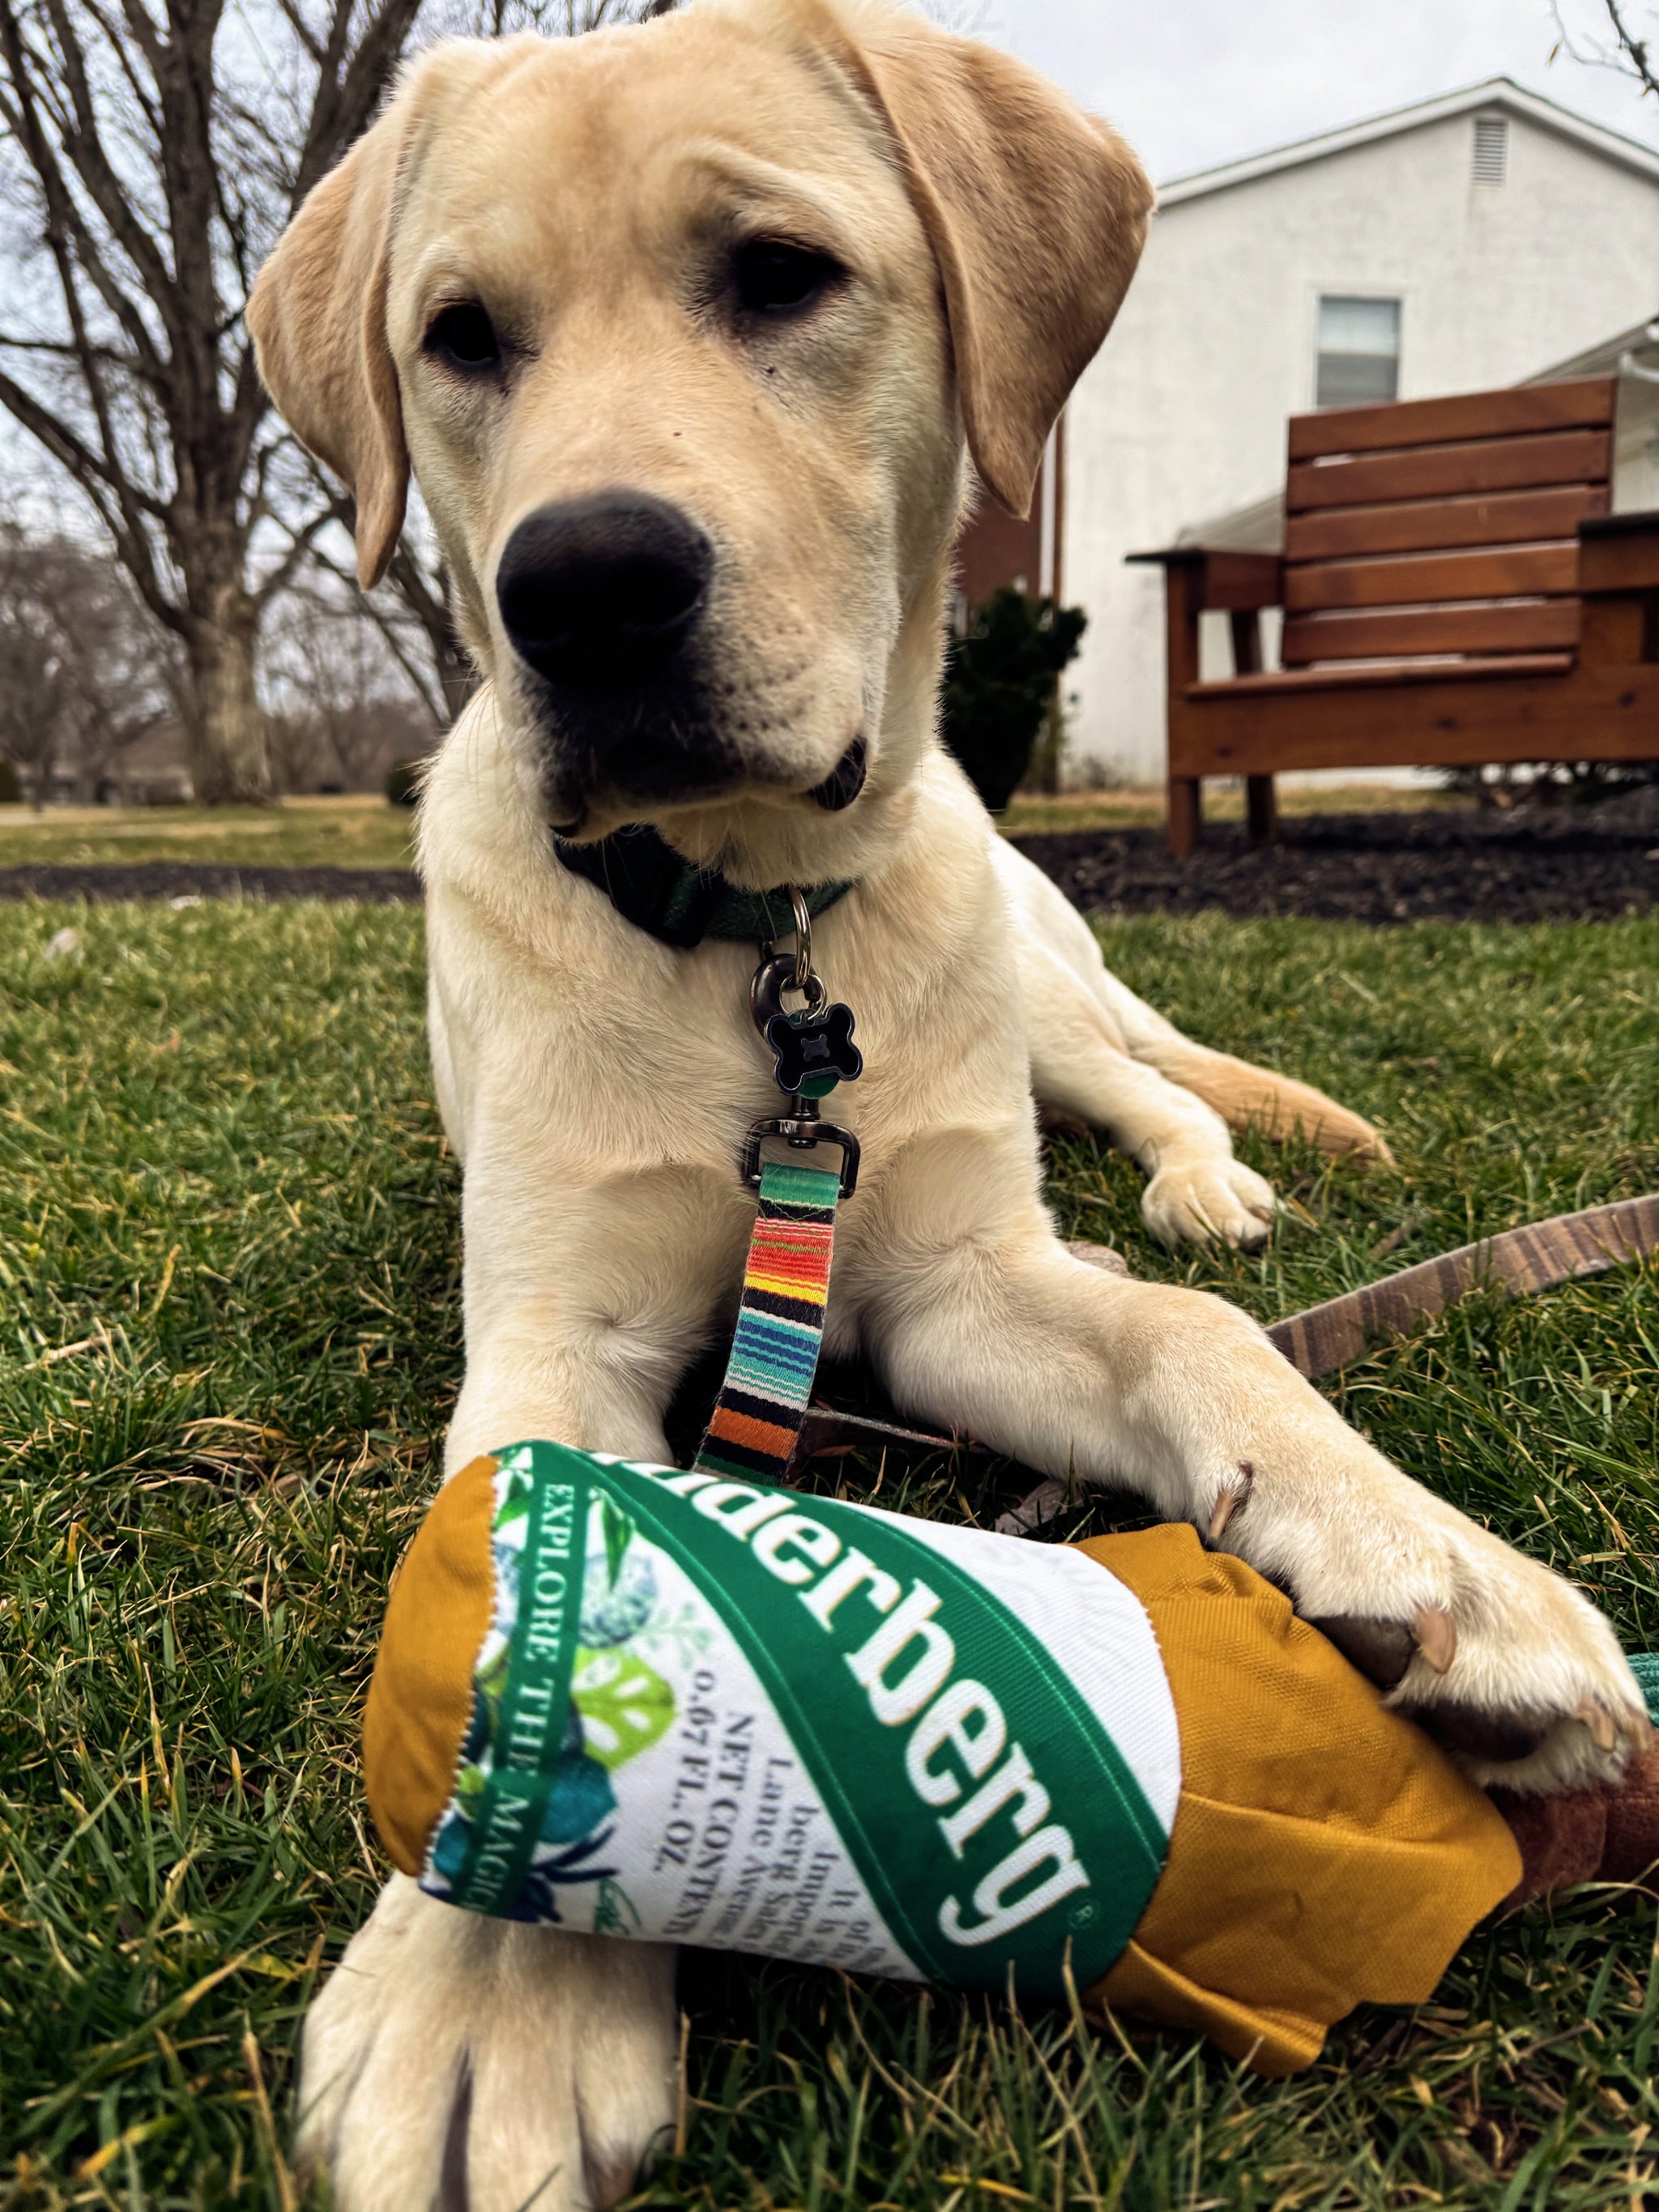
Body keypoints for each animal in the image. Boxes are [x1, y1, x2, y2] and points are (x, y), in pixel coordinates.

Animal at [246, 8, 1654, 2203]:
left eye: (779, 276)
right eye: (459, 337)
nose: (584, 585)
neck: (749, 925)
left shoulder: (963, 1277)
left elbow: (1195, 1339)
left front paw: (1435, 1562)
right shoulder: (559, 1316)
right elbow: (528, 1523)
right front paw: (488, 1988)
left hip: (1037, 987)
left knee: (1158, 1096)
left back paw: (1223, 1182)